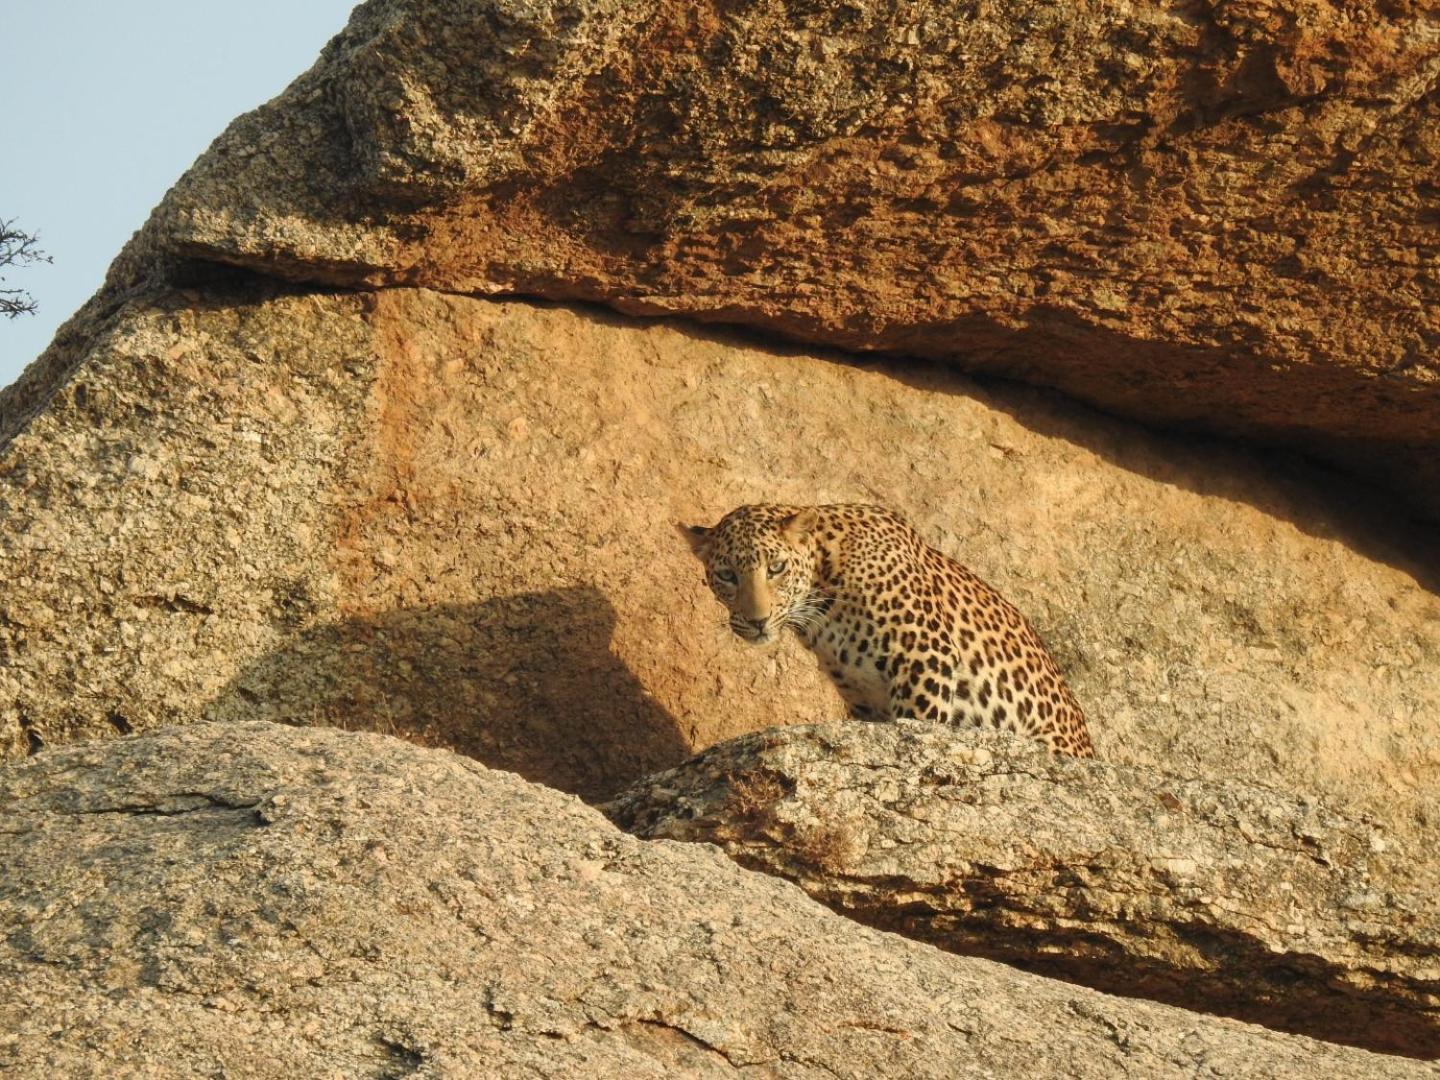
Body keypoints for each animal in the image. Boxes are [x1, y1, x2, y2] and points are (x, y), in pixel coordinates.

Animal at [682, 504, 1088, 754]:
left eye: (777, 567)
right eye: (726, 575)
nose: (757, 620)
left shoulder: (925, 655)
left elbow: (920, 727)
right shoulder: (865, 700)